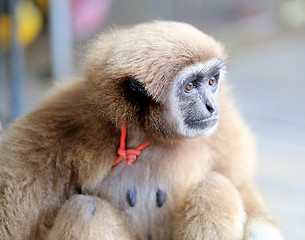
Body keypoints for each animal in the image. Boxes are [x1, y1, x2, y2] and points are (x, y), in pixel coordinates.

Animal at [0, 21, 282, 240]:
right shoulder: (54, 125)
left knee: (215, 187)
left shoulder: (225, 125)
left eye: (212, 81)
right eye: (190, 87)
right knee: (86, 209)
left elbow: (242, 185)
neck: (149, 135)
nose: (211, 106)